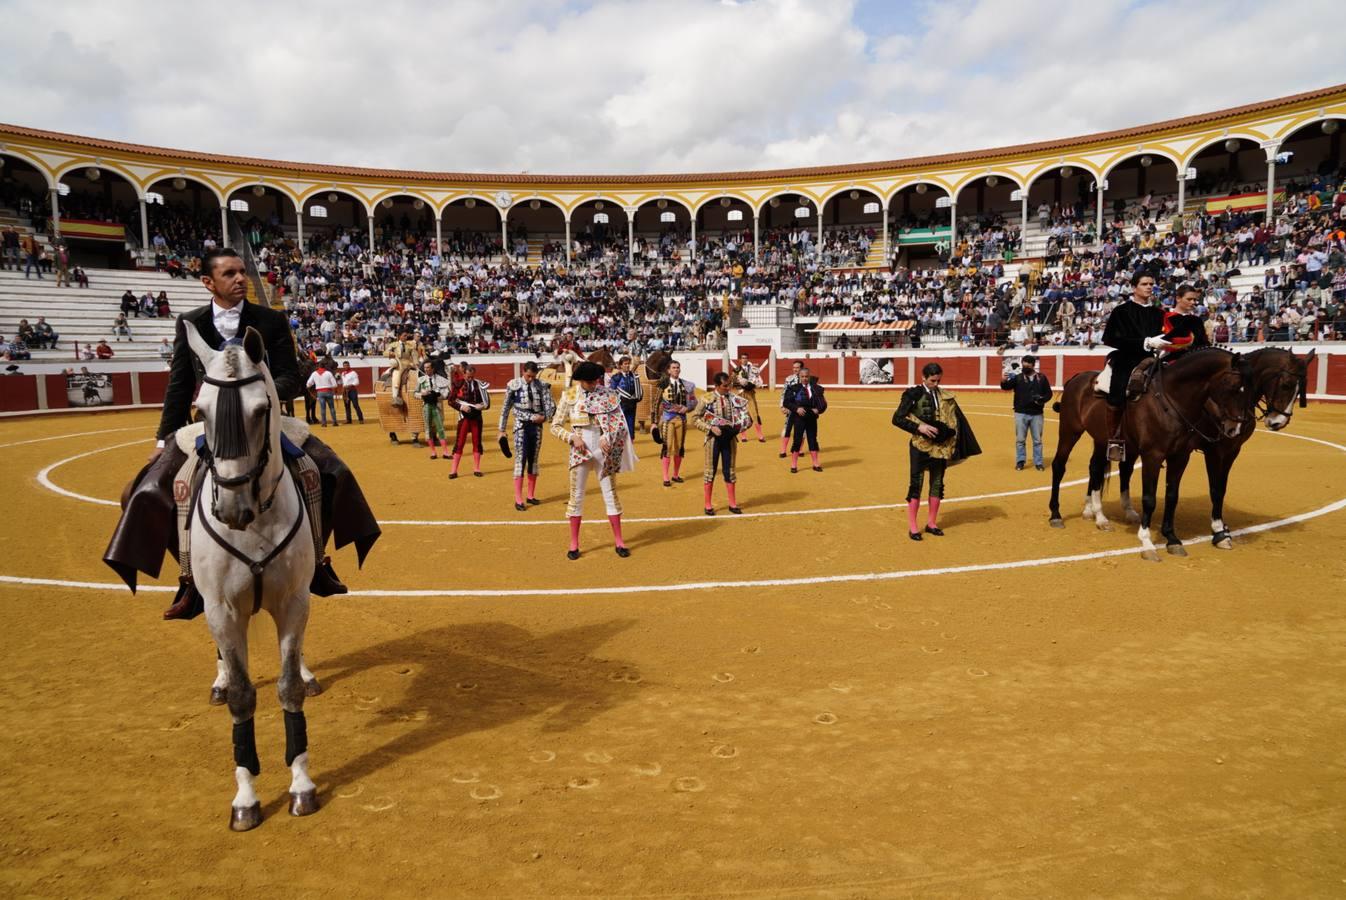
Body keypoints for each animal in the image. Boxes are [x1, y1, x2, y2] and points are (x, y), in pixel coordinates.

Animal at [184, 321, 320, 828]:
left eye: (262, 409)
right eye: (199, 409)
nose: (231, 509)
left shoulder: (294, 598)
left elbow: (287, 685)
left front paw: (301, 784)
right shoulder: (221, 608)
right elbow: (243, 696)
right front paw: (246, 796)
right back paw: (220, 679)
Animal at [1049, 347, 1249, 556]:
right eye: (1232, 386)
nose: (1234, 429)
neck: (1171, 399)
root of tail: (1076, 378)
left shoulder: (1180, 457)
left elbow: (1172, 496)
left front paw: (1172, 538)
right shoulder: (1153, 455)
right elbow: (1149, 499)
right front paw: (1147, 542)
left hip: (1101, 440)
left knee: (1096, 469)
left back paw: (1100, 517)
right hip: (1069, 431)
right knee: (1059, 466)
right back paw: (1056, 514)